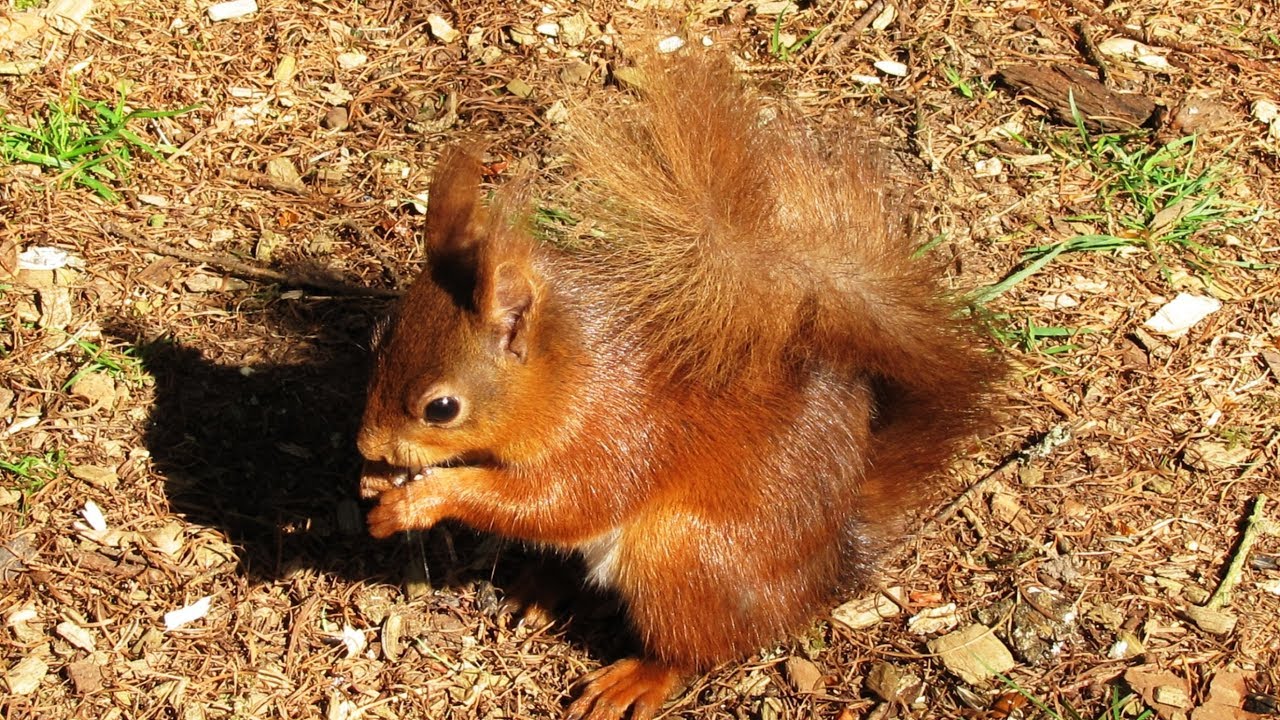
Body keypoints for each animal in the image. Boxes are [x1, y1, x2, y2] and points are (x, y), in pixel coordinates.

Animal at [357, 50, 999, 720]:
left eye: (442, 408)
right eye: (378, 341)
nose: (365, 446)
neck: (567, 372)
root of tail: (826, 569)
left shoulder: (614, 434)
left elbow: (552, 503)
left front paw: (418, 501)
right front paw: (379, 481)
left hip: (682, 556)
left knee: (692, 650)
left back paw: (636, 678)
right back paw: (541, 588)